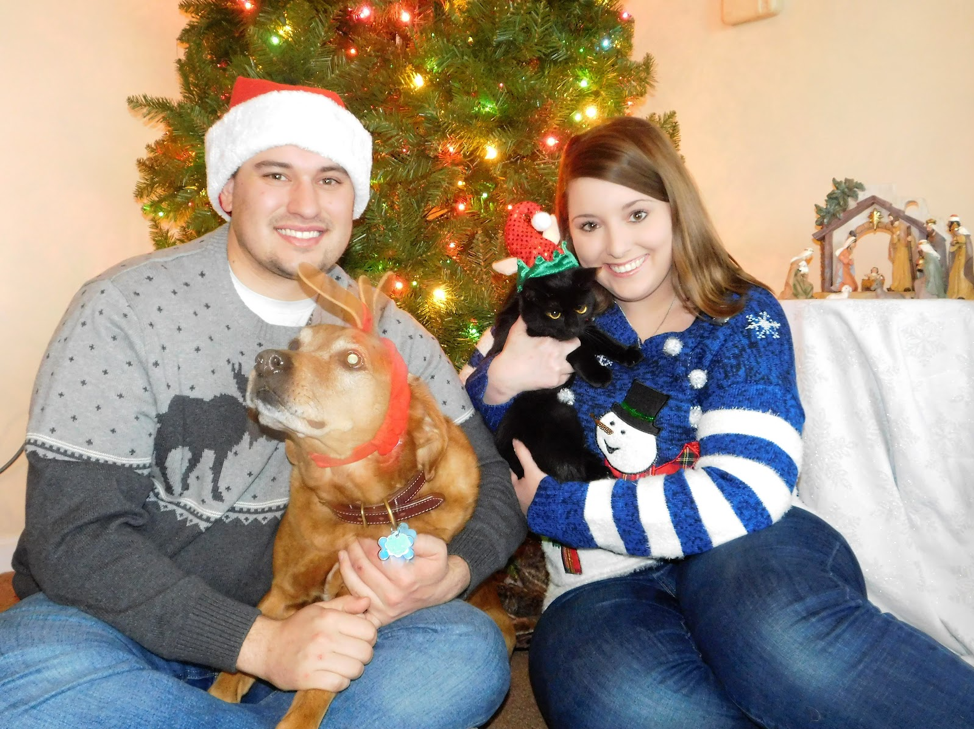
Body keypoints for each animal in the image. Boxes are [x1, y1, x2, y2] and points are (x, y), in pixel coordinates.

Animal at [209, 268, 516, 728]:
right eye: (297, 345)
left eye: (352, 360)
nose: (266, 360)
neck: (356, 510)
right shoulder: (282, 592)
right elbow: (235, 669)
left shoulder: (357, 608)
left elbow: (312, 694)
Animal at [492, 264, 644, 480]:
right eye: (554, 313)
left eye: (580, 308)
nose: (572, 327)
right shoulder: (538, 335)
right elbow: (576, 349)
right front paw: (599, 374)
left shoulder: (586, 327)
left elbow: (602, 339)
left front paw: (628, 353)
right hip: (555, 425)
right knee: (570, 466)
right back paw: (603, 473)